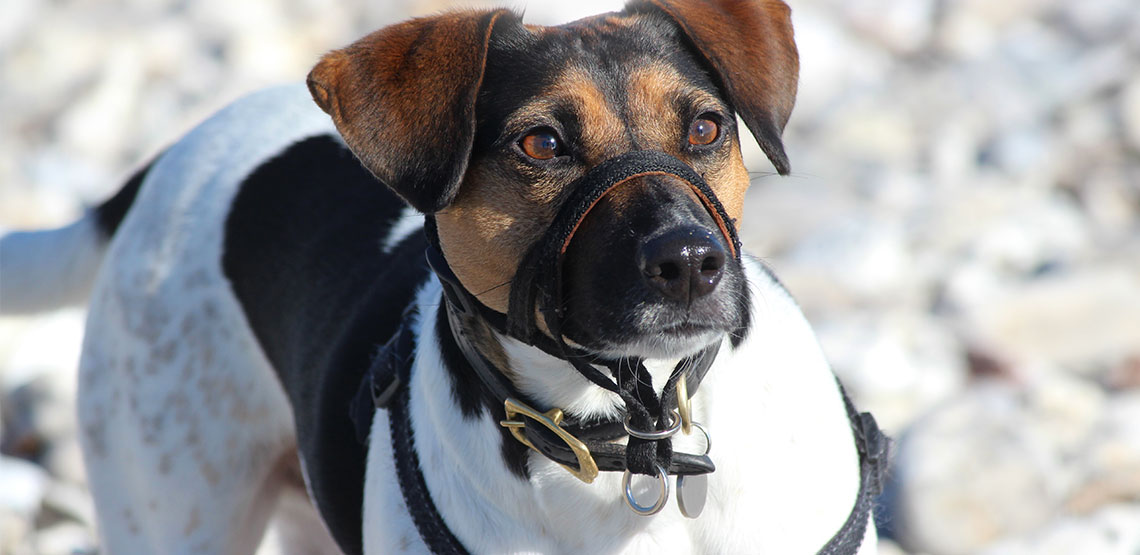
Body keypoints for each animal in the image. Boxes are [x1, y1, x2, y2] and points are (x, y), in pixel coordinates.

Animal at [0, 1, 884, 555]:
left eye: (704, 128)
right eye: (541, 144)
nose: (692, 262)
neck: (631, 446)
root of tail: (161, 164)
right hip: (172, 505)